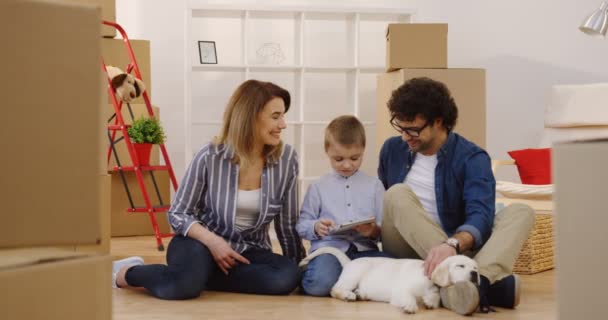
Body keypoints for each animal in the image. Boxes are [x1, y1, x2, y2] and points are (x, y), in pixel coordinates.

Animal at [300, 248, 480, 312]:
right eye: (460, 266)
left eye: (476, 268)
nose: (474, 274)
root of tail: (349, 262)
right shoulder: (400, 290)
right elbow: (408, 296)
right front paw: (410, 306)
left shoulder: (434, 290)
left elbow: (435, 297)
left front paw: (430, 301)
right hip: (358, 271)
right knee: (334, 289)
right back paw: (348, 295)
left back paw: (361, 294)